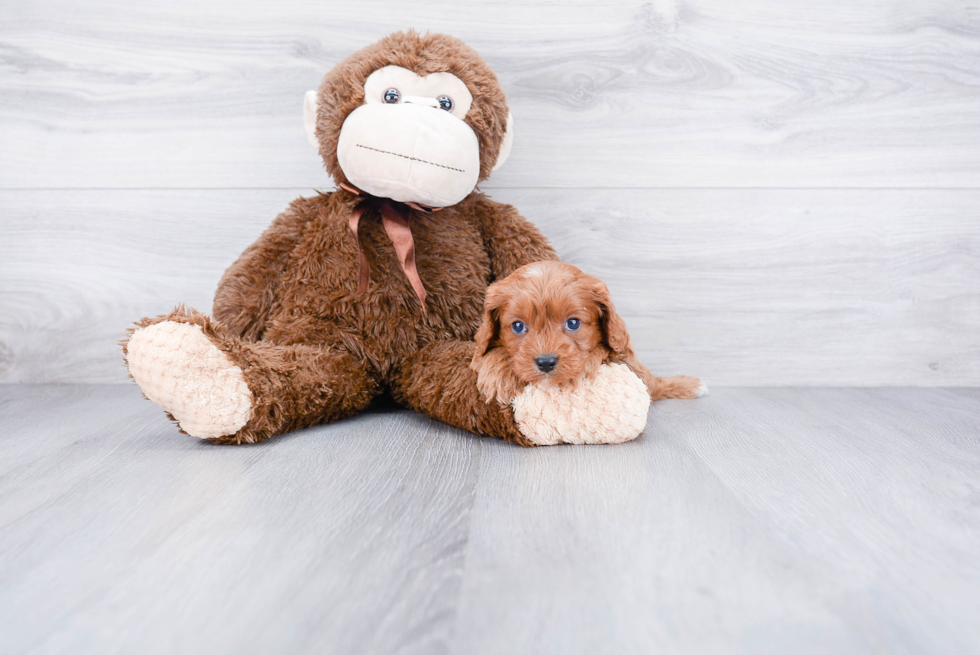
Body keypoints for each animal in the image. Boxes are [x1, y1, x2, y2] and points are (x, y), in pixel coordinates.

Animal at [468, 260, 704, 404]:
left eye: (573, 323)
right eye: (518, 326)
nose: (546, 363)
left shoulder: (625, 355)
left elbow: (602, 351)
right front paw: (498, 375)